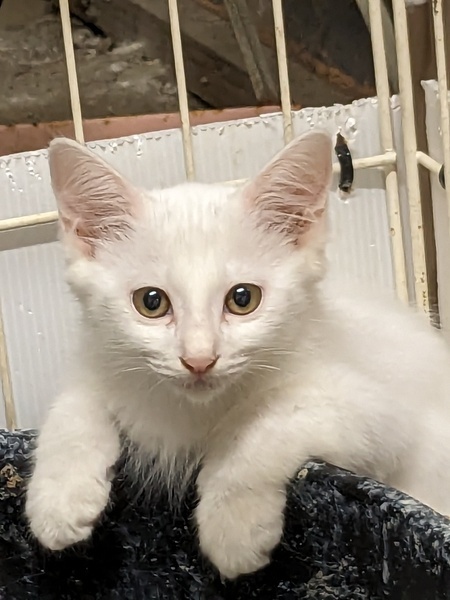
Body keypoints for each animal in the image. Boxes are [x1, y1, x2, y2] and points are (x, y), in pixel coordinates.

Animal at [26, 130, 450, 580]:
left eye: (243, 299)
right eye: (151, 302)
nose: (199, 359)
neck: (194, 412)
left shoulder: (383, 413)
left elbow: (263, 422)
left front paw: (233, 525)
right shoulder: (105, 356)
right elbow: (75, 401)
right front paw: (58, 498)